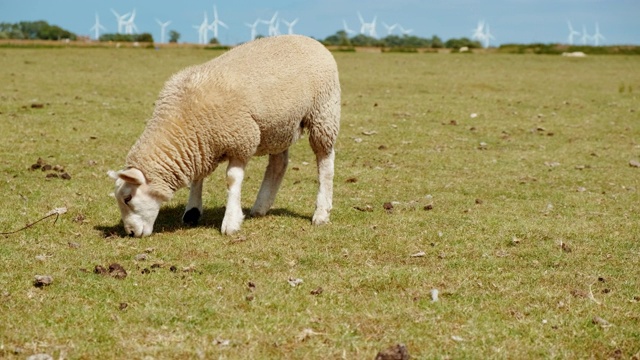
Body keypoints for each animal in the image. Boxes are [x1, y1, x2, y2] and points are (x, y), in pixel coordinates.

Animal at [107, 33, 342, 236]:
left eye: (127, 198)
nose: (130, 233)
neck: (182, 121)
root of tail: (309, 39)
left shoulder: (240, 140)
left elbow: (232, 179)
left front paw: (231, 221)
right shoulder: (200, 145)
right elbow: (198, 178)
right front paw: (192, 211)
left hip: (323, 112)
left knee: (325, 162)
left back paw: (321, 212)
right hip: (279, 126)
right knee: (278, 164)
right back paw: (260, 206)